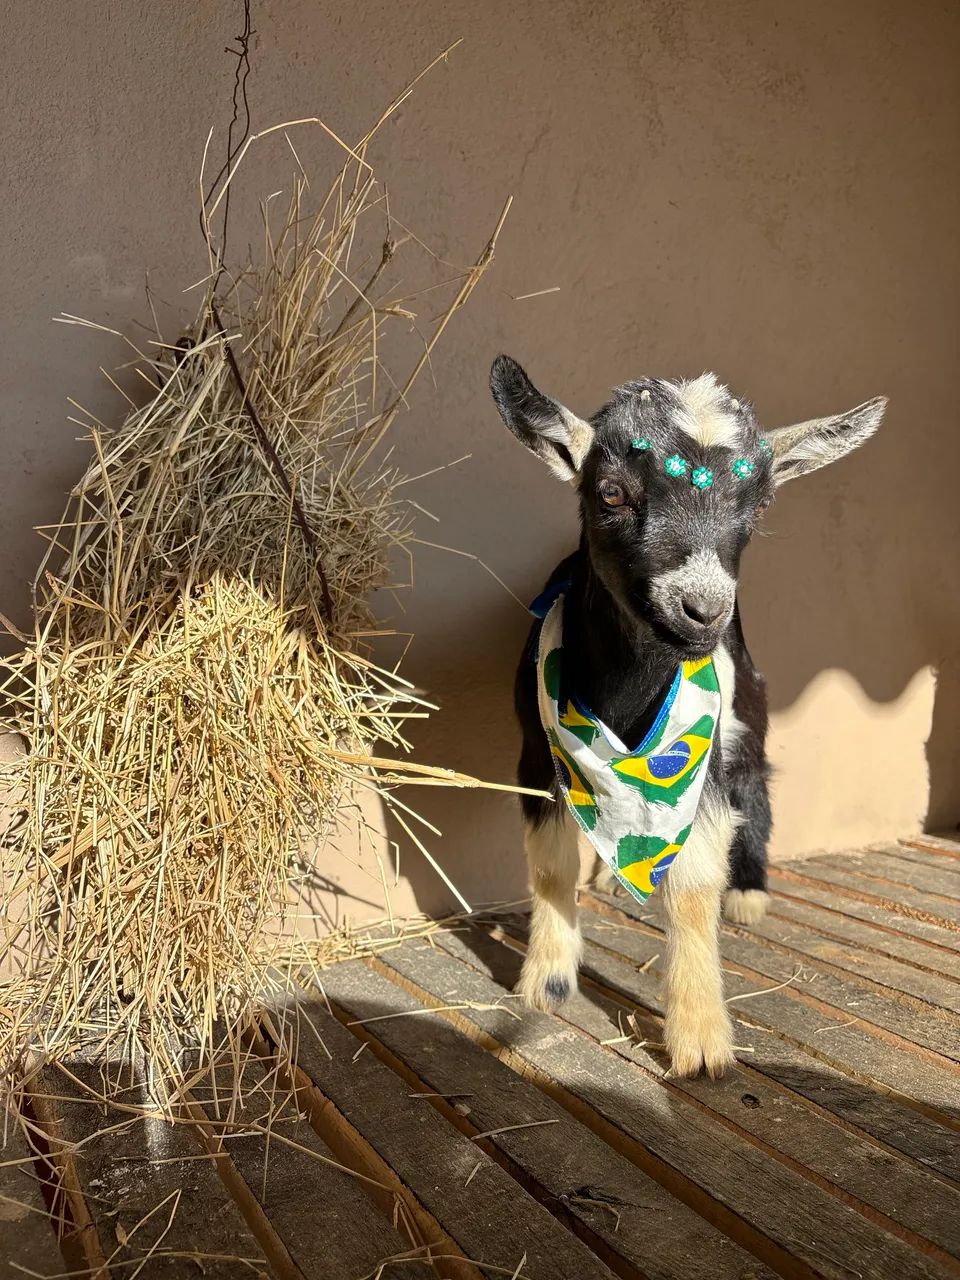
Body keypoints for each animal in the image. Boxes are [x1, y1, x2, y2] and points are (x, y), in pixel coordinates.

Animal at [489, 357, 885, 1078]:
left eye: (760, 502)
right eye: (610, 493)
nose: (702, 610)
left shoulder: (703, 764)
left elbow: (696, 886)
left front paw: (699, 1040)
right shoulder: (536, 752)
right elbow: (552, 865)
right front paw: (547, 983)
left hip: (744, 712)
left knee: (757, 779)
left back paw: (750, 892)